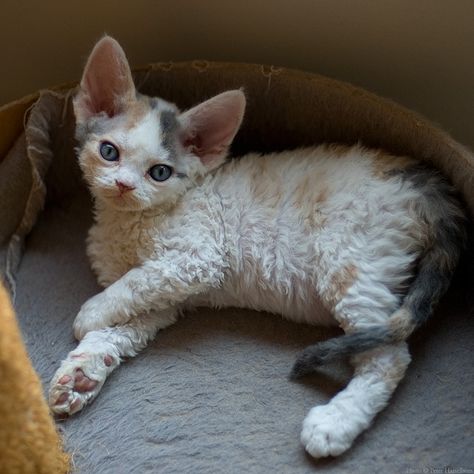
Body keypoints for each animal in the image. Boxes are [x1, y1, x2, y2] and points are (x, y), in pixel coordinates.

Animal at [49, 38, 466, 460]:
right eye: (109, 152)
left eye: (160, 173)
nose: (124, 186)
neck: (130, 223)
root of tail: (423, 181)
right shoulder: (170, 298)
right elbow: (125, 323)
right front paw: (83, 372)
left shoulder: (194, 259)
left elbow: (132, 285)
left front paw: (89, 313)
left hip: (350, 260)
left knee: (390, 356)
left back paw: (334, 424)